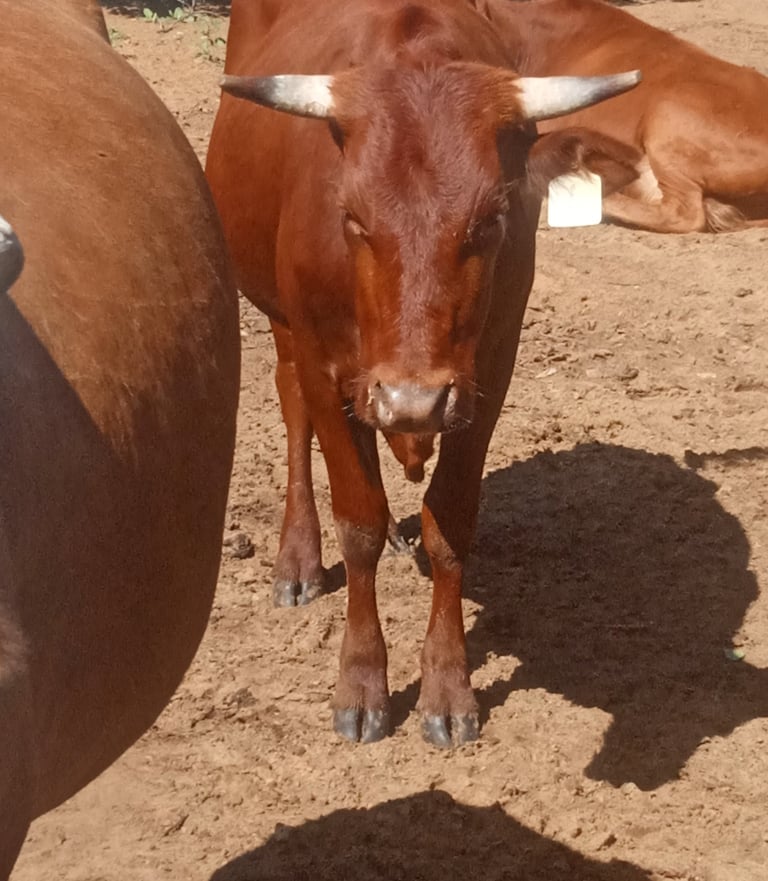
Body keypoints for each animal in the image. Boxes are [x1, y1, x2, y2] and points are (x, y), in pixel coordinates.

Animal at [206, 0, 640, 748]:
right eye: (352, 217)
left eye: (491, 219)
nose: (413, 399)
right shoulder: (327, 364)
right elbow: (357, 522)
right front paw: (361, 684)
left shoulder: (486, 375)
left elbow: (450, 522)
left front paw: (446, 686)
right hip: (281, 320)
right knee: (292, 408)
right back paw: (297, 559)